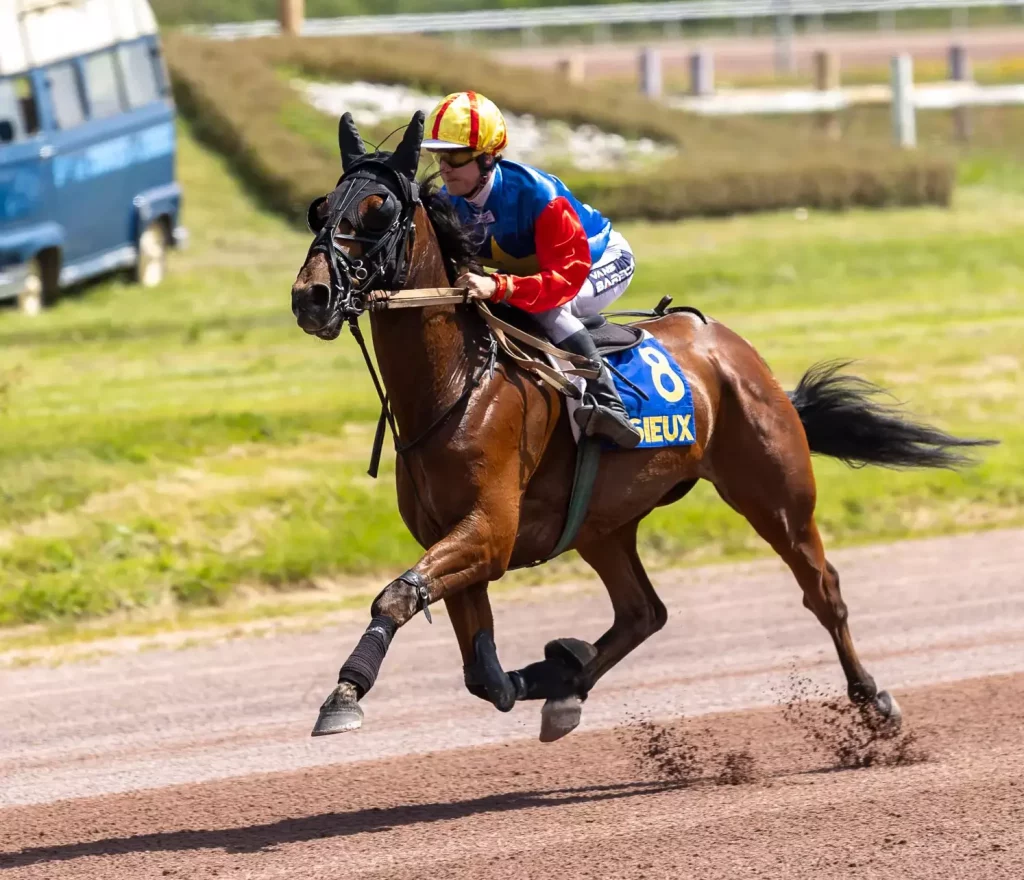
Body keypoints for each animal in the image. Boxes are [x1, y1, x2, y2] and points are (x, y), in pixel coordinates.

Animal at [290, 111, 992, 742]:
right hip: (603, 522)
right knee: (643, 612)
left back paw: (873, 700)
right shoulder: (457, 536)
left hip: (775, 493)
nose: (311, 297)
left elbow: (398, 597)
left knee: (823, 591)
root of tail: (736, 352)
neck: (460, 386)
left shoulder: (489, 530)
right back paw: (565, 684)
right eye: (321, 209)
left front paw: (343, 696)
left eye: (378, 209)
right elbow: (481, 672)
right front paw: (547, 670)